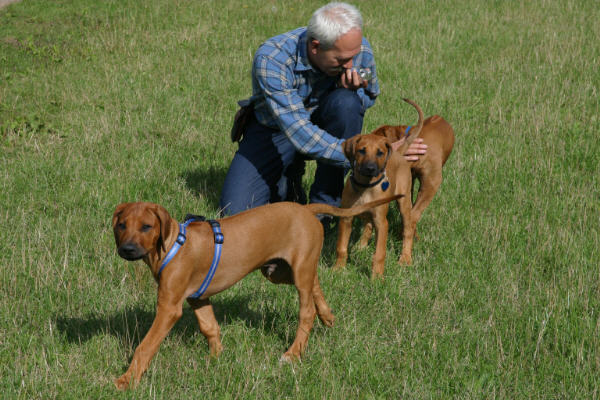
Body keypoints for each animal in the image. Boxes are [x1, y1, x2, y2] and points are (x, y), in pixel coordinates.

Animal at [111, 195, 401, 389]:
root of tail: (306, 209)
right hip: (281, 271)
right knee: (315, 283)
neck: (173, 244)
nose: (126, 249)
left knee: (306, 311)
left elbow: (145, 346)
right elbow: (210, 327)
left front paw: (127, 380)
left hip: (294, 272)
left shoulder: (169, 308)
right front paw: (217, 358)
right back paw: (327, 315)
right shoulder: (198, 298)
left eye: (146, 226)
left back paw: (293, 353)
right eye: (122, 225)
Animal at [334, 98, 455, 277]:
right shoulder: (347, 216)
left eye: (380, 152)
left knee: (408, 219)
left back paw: (405, 257)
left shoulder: (430, 184)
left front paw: (379, 275)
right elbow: (342, 246)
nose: (370, 168)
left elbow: (386, 246)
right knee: (369, 223)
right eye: (361, 150)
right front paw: (338, 269)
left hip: (406, 196)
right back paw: (362, 246)